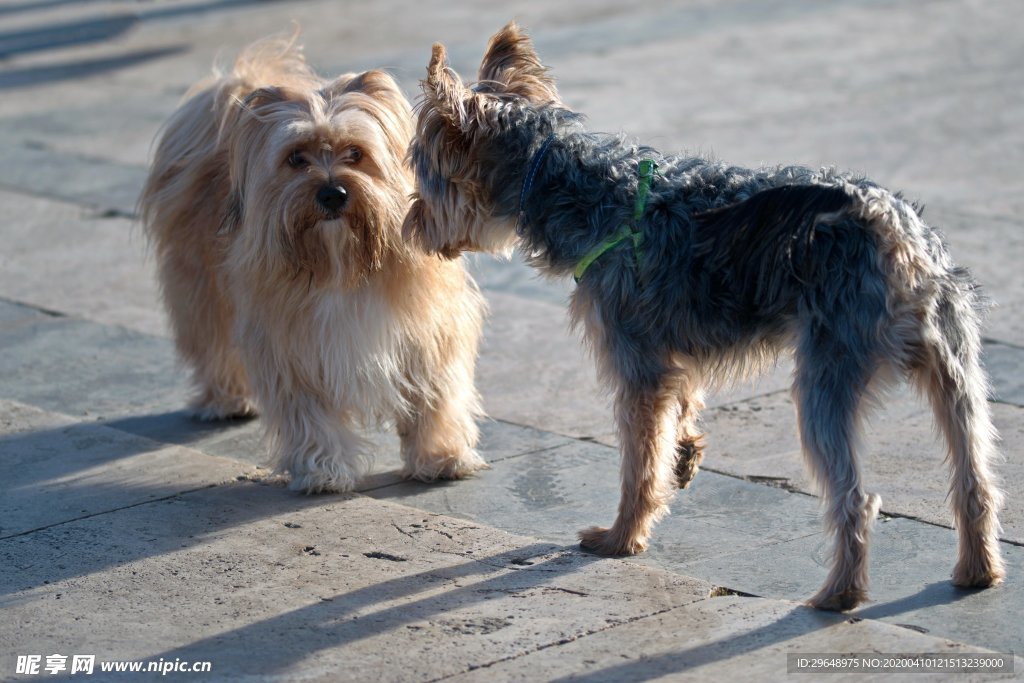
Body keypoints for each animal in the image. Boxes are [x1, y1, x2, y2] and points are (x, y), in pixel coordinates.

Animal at [141, 38, 487, 491]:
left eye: (356, 154)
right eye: (296, 158)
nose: (332, 193)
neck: (341, 264)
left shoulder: (428, 332)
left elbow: (435, 395)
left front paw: (441, 456)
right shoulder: (292, 347)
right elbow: (310, 415)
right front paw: (322, 468)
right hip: (202, 290)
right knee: (213, 345)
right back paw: (227, 398)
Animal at [403, 21, 1003, 610]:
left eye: (425, 179)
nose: (409, 225)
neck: (576, 186)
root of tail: (893, 228)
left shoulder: (635, 364)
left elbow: (639, 464)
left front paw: (621, 539)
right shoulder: (669, 354)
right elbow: (682, 404)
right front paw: (687, 453)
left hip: (827, 378)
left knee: (855, 498)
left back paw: (839, 594)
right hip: (956, 370)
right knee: (974, 478)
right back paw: (978, 571)